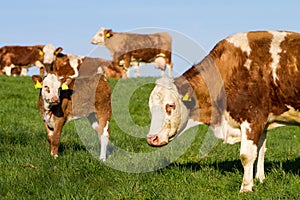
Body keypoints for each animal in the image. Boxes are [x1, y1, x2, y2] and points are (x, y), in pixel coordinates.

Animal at [146, 30, 300, 192]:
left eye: (170, 105)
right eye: (150, 108)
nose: (151, 138)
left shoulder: (252, 118)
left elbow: (247, 155)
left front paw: (246, 188)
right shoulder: (262, 121)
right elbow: (260, 150)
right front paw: (259, 179)